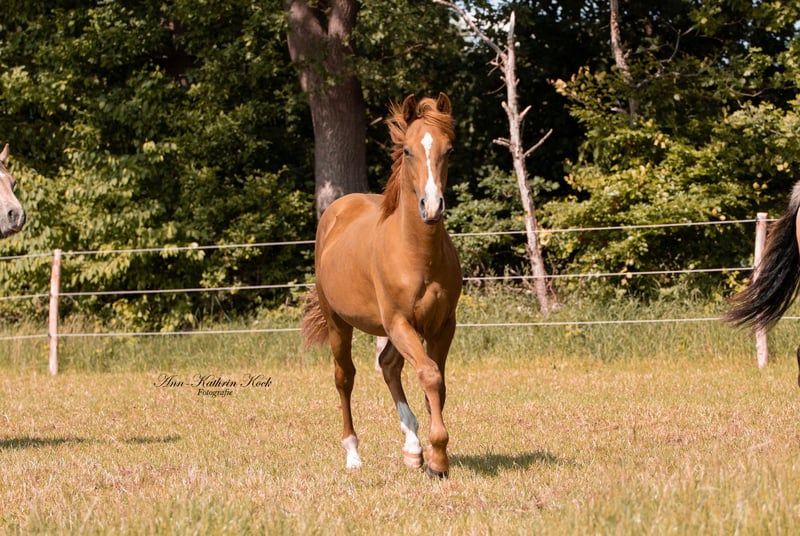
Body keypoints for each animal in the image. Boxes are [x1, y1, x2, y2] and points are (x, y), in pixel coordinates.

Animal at [301, 93, 462, 478]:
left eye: (449, 150)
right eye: (407, 150)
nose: (431, 206)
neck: (417, 254)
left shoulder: (442, 325)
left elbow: (437, 383)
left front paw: (430, 455)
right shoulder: (400, 322)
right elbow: (429, 375)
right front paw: (439, 459)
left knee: (388, 366)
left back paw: (412, 448)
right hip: (339, 323)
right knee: (344, 377)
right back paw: (353, 454)